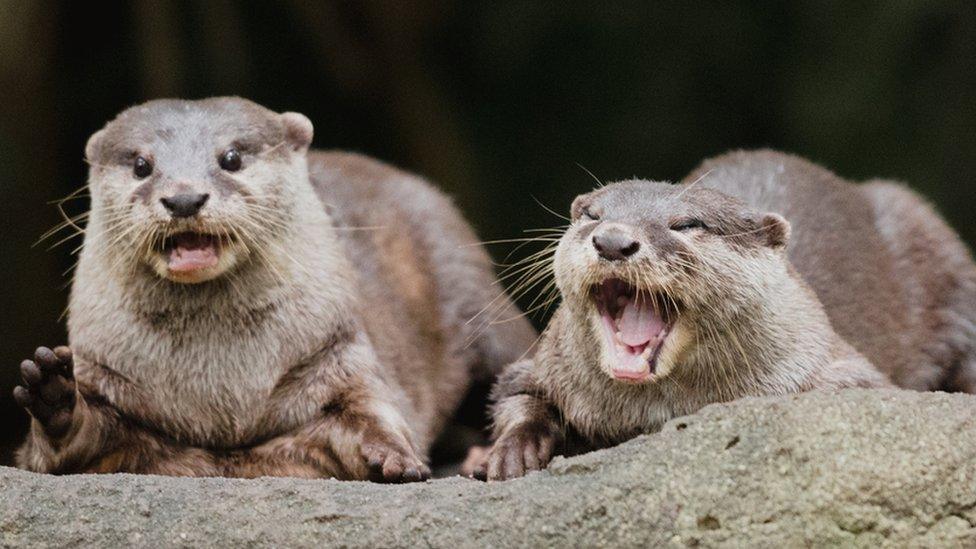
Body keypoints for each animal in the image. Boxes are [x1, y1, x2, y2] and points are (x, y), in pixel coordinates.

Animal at [15, 98, 532, 480]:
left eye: (231, 158)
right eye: (142, 164)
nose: (184, 197)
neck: (220, 394)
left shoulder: (339, 353)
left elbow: (371, 408)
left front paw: (394, 454)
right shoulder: (107, 377)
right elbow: (73, 444)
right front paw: (55, 396)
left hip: (477, 301)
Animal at [468, 151, 972, 480]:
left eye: (687, 224)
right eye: (593, 214)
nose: (612, 239)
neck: (655, 414)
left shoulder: (838, 365)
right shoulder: (543, 363)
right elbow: (517, 393)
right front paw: (512, 451)